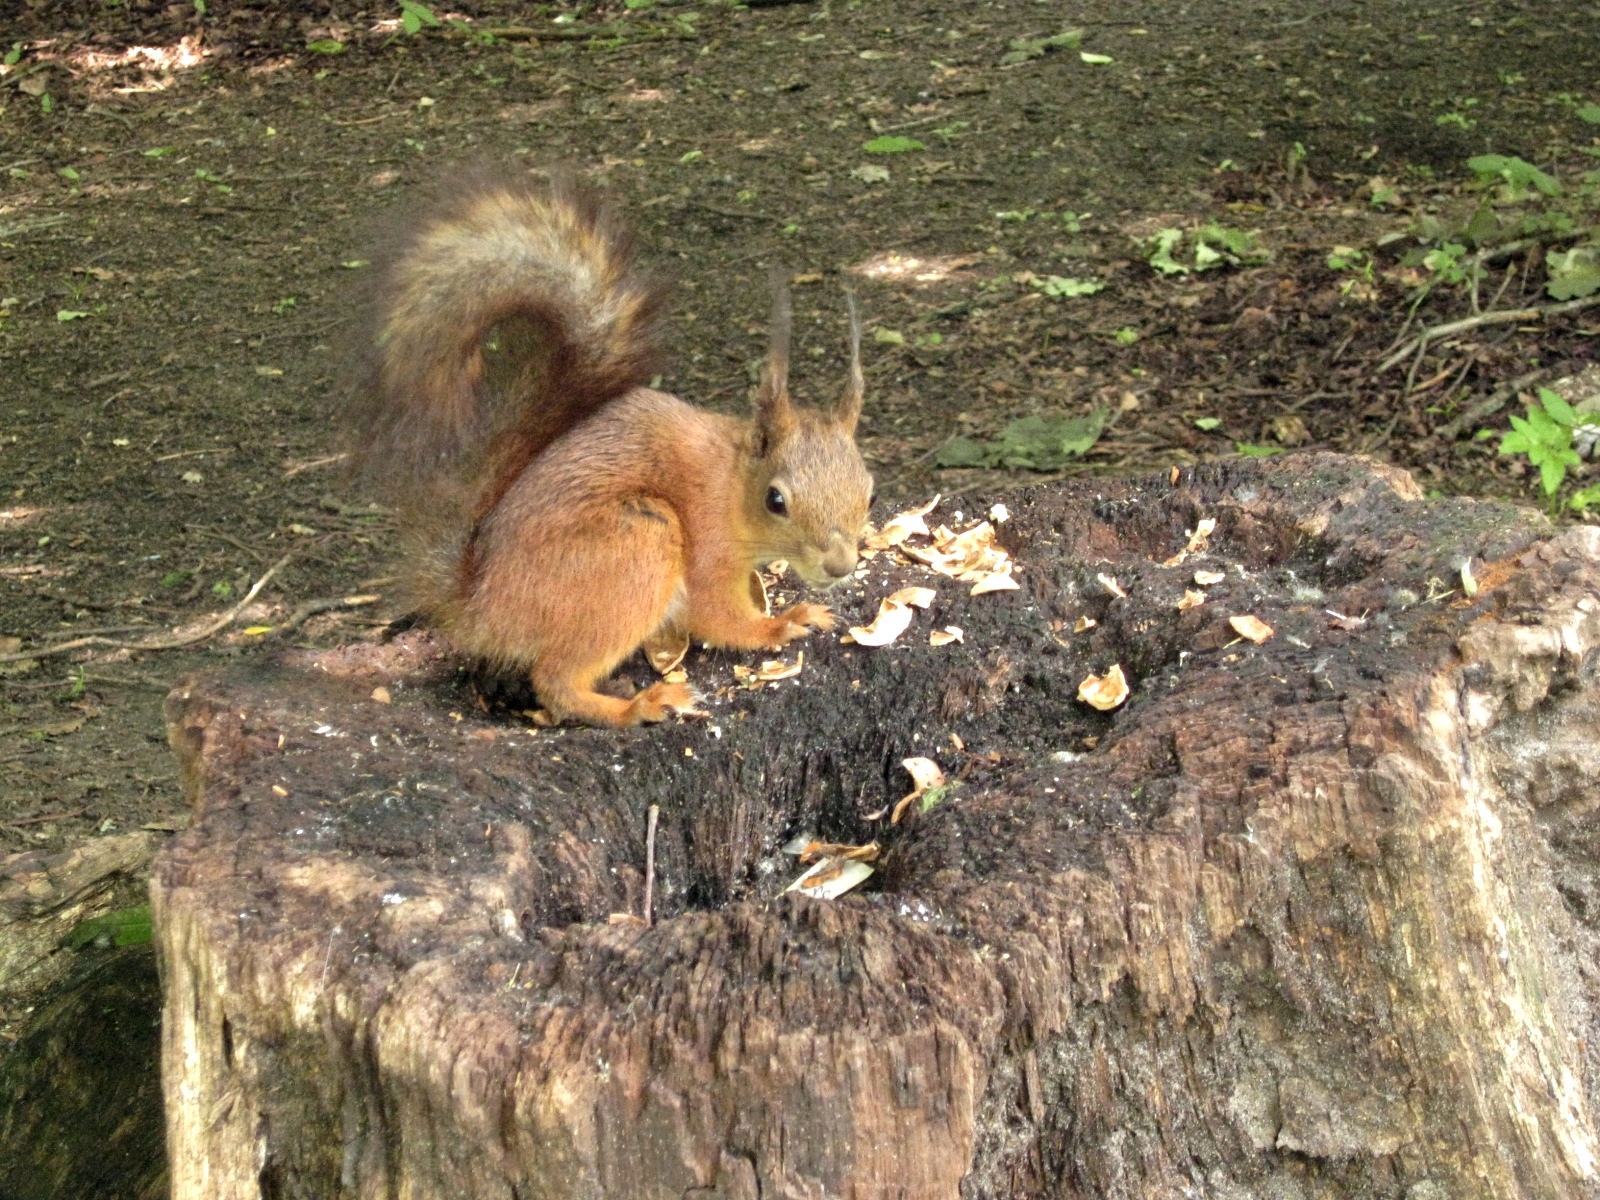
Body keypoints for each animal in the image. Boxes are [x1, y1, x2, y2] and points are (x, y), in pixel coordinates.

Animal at [340, 173, 876, 729]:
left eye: (871, 494)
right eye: (776, 501)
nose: (840, 566)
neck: (731, 486)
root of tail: (480, 604)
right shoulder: (707, 552)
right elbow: (719, 619)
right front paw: (785, 622)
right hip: (635, 546)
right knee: (556, 683)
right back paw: (639, 704)